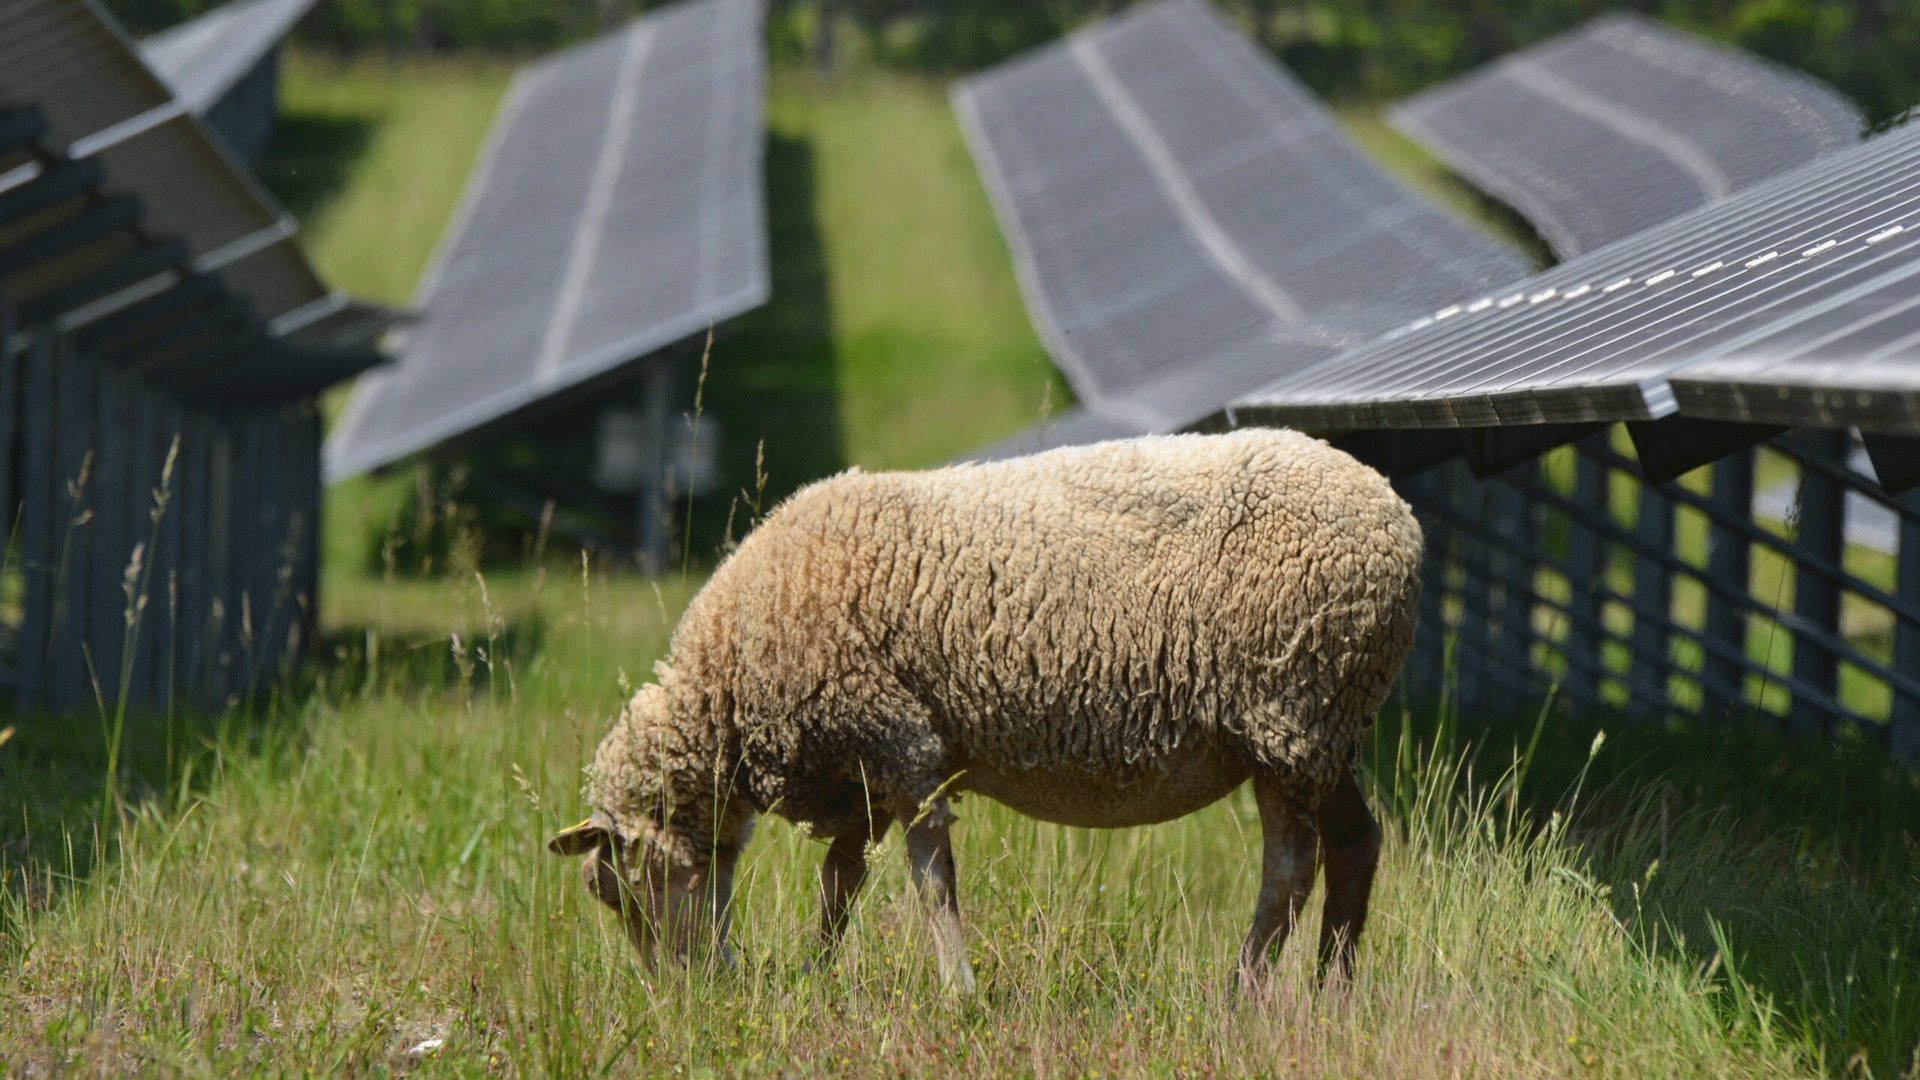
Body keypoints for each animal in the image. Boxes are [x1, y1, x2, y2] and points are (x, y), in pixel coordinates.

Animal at [548, 428, 1423, 993]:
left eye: (623, 892)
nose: (688, 1000)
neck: (734, 679)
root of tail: (1398, 519)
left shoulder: (900, 742)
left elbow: (930, 879)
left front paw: (958, 991)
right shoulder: (861, 768)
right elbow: (841, 882)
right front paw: (814, 975)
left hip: (1287, 713)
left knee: (1291, 867)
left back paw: (1243, 990)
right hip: (1325, 728)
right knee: (1356, 844)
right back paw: (1330, 991)